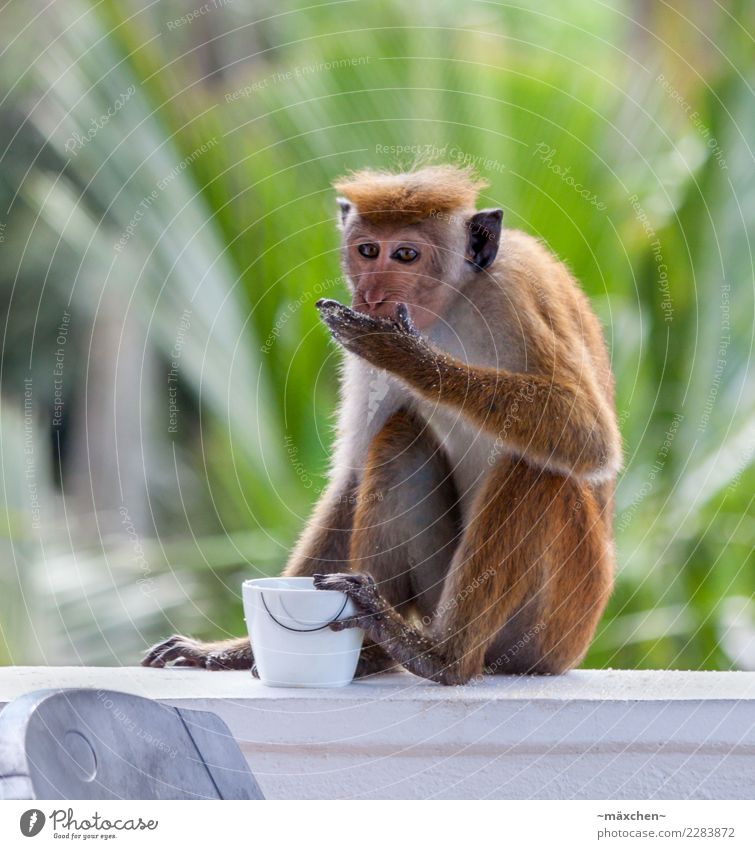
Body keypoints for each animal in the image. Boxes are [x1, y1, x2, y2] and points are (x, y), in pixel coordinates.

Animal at [142, 164, 620, 684]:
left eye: (406, 255)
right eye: (368, 250)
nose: (372, 295)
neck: (454, 304)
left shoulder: (516, 290)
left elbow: (590, 437)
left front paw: (408, 357)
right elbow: (351, 478)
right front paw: (236, 650)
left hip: (556, 625)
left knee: (537, 465)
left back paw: (441, 659)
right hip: (440, 596)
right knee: (400, 439)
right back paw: (377, 649)